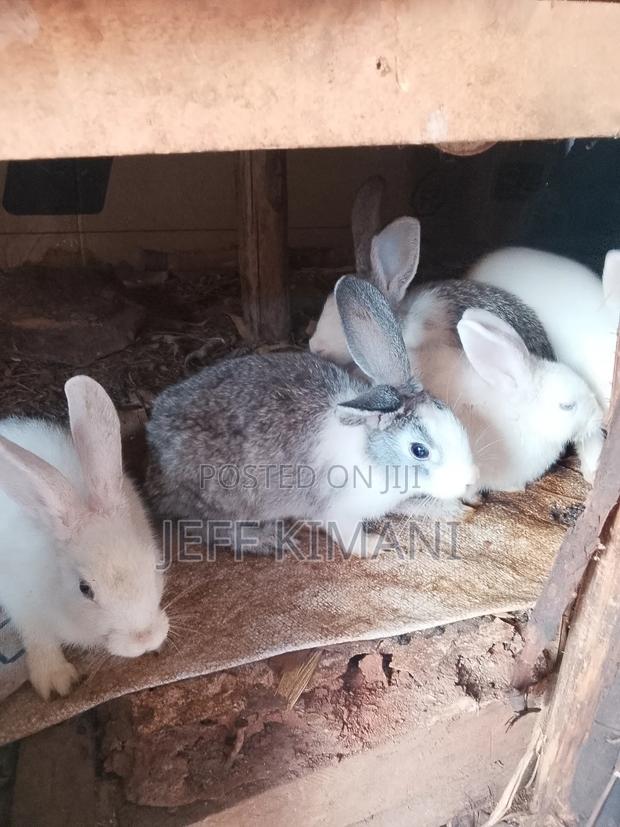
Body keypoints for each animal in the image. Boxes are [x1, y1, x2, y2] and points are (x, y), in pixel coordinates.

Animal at [0, 376, 169, 700]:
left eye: (156, 565)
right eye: (85, 589)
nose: (144, 639)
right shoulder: (21, 601)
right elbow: (38, 638)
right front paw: (56, 683)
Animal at [146, 276, 479, 558]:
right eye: (419, 450)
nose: (470, 480)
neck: (371, 452)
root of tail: (151, 444)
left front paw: (457, 510)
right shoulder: (337, 511)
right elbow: (348, 535)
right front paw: (375, 545)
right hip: (221, 502)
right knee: (205, 529)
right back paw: (268, 539)